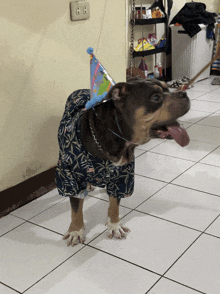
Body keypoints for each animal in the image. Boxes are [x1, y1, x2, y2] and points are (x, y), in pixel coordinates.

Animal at [55, 76, 190, 246]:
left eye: (168, 88)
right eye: (156, 97)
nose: (184, 93)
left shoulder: (123, 178)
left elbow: (114, 204)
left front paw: (114, 225)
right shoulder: (70, 178)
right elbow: (75, 208)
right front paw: (76, 230)